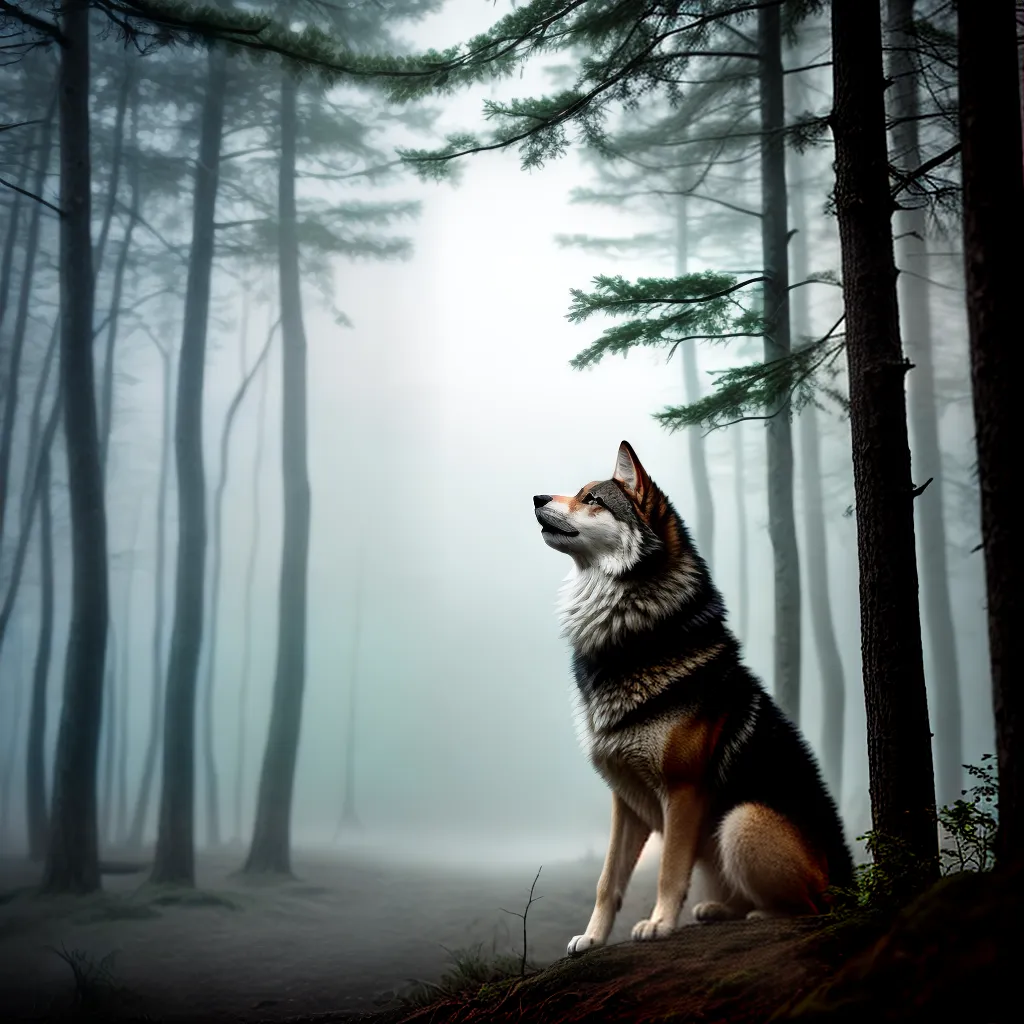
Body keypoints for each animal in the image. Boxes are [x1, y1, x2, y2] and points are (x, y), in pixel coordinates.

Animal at [533, 441, 853, 955]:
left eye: (592, 499)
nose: (536, 497)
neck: (628, 635)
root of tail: (850, 885)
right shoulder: (625, 801)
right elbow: (607, 881)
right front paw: (592, 937)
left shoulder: (682, 792)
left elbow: (669, 870)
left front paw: (659, 925)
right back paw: (719, 911)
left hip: (741, 821)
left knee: (810, 909)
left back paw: (758, 915)